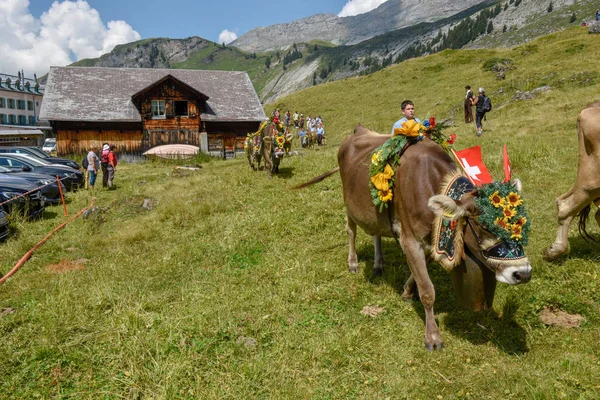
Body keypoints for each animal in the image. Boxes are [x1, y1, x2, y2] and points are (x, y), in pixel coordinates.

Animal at [298, 125, 532, 350]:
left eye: (523, 224)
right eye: (484, 225)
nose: (523, 274)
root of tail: (358, 131)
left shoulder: (429, 241)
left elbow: (419, 275)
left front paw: (408, 290)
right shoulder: (410, 239)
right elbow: (428, 290)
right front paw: (433, 337)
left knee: (376, 233)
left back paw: (378, 264)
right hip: (349, 206)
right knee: (350, 231)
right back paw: (353, 263)